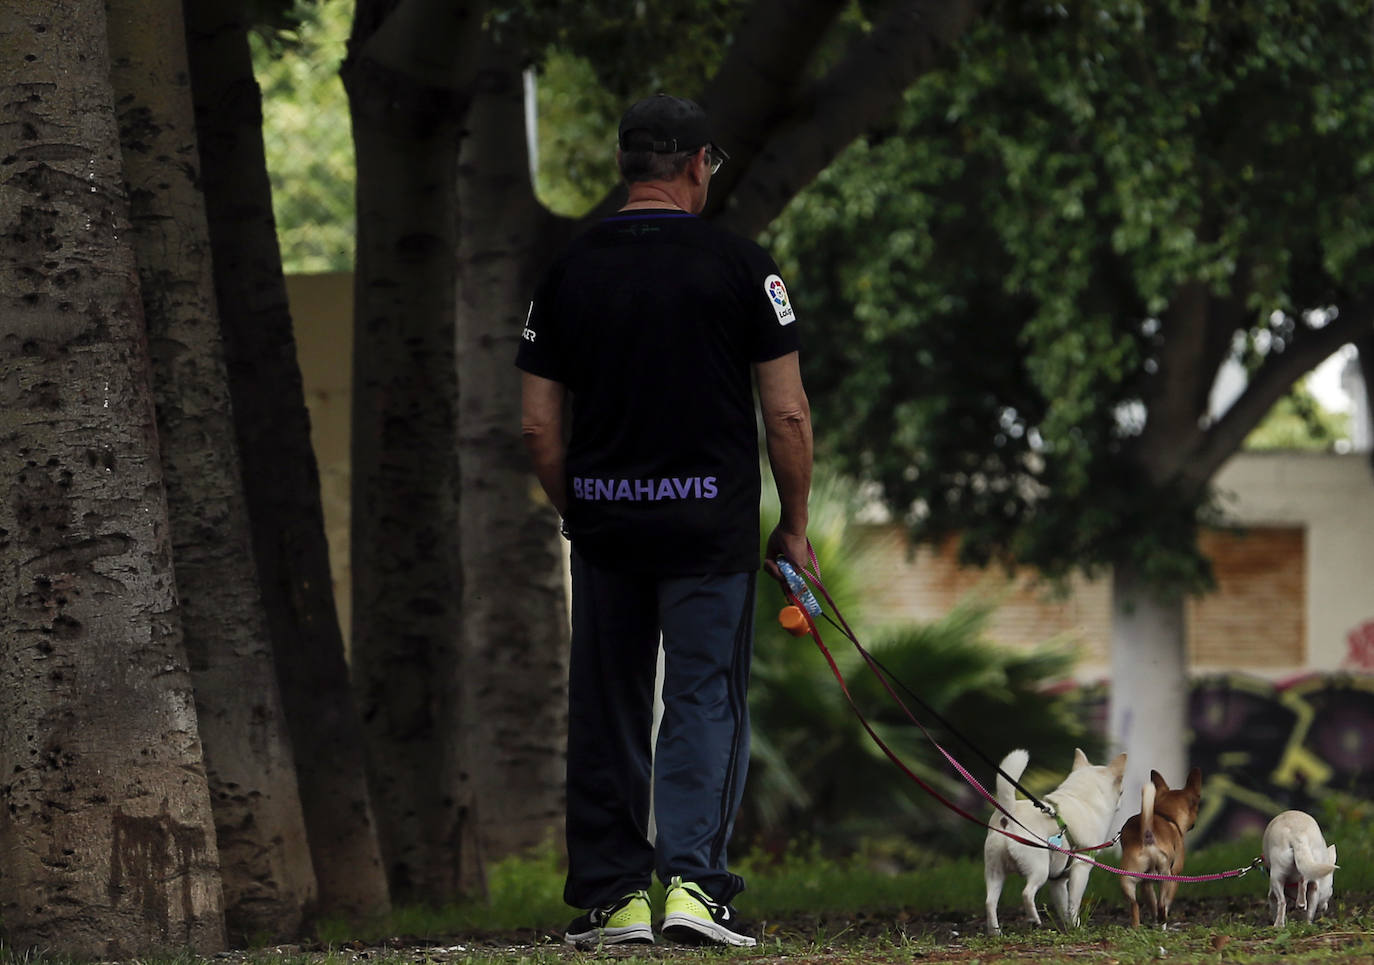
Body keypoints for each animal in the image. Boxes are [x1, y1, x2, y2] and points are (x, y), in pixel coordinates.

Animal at [989, 747, 1126, 934]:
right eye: (1121, 792)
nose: (1120, 804)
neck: (1081, 798)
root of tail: (1008, 813)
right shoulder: (1081, 869)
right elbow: (1073, 903)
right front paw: (1077, 928)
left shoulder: (1057, 882)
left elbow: (1063, 907)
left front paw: (1069, 928)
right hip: (1039, 869)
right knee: (1027, 893)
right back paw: (1034, 920)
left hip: (995, 872)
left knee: (990, 902)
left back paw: (995, 933)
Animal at [1115, 769, 1203, 929]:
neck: (1165, 814)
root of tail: (1148, 834)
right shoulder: (1176, 875)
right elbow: (1164, 903)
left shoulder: (1146, 883)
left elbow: (1151, 903)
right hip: (1166, 876)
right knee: (1162, 905)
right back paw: (1163, 923)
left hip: (1128, 879)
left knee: (1135, 905)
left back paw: (1137, 927)